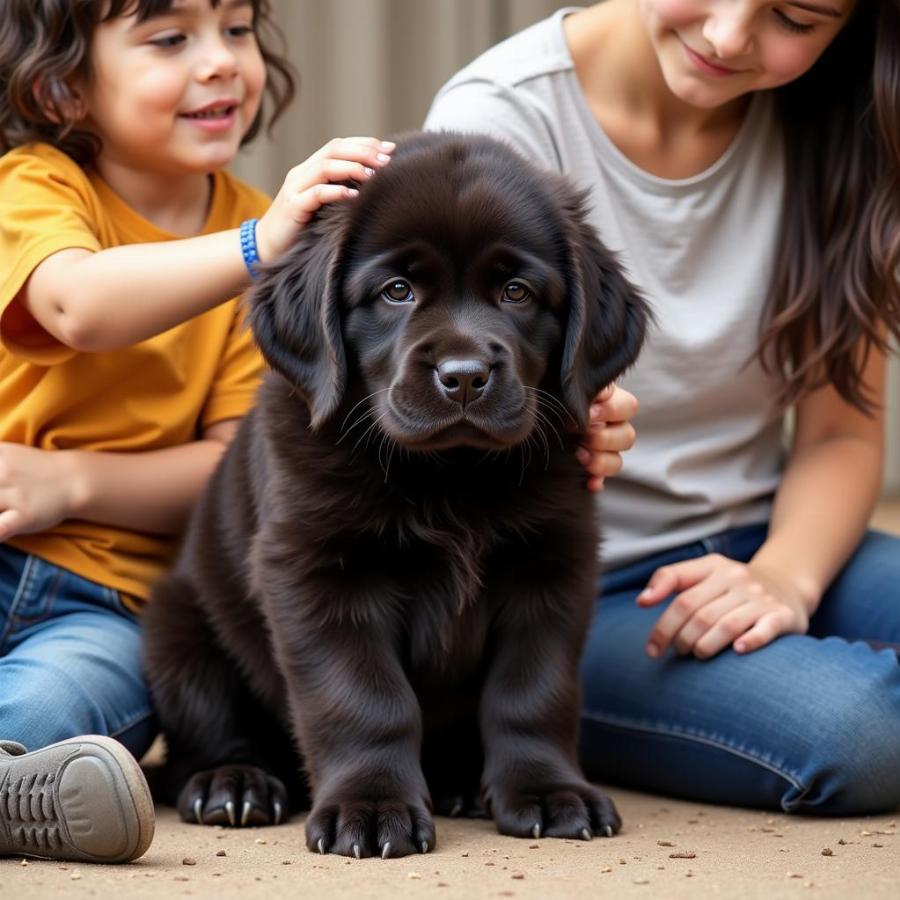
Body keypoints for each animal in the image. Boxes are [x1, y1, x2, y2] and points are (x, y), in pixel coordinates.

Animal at [142, 132, 648, 856]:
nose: (463, 376)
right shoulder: (317, 573)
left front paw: (549, 792)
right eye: (397, 291)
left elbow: (533, 692)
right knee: (205, 736)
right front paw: (372, 806)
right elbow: (363, 697)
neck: (449, 476)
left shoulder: (552, 568)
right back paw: (232, 783)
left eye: (516, 291)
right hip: (177, 629)